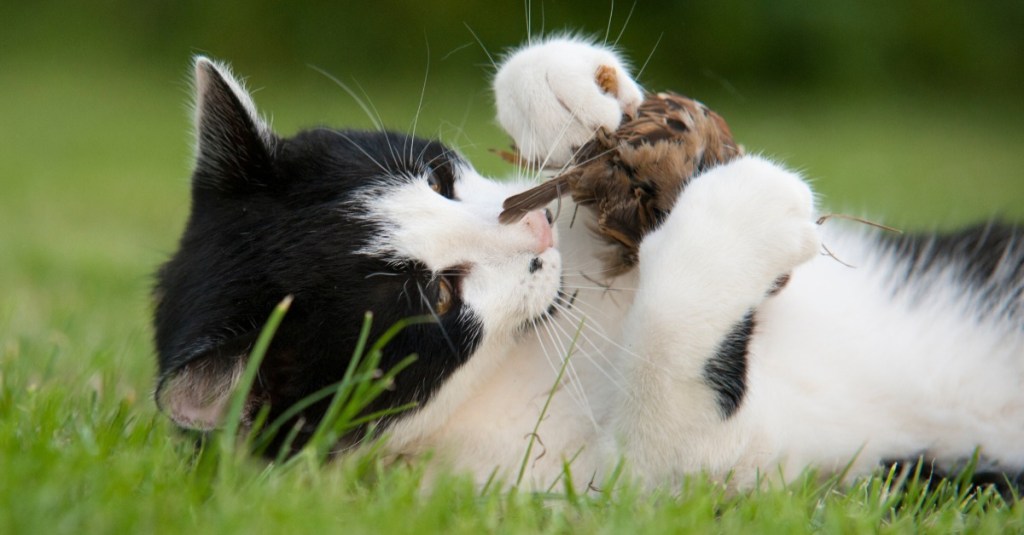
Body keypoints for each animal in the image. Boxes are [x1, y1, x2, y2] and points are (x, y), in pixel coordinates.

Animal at [151, 36, 1024, 487]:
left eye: (437, 176)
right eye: (439, 298)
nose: (534, 239)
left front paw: (578, 92)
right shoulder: (641, 481)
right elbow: (669, 426)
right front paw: (747, 207)